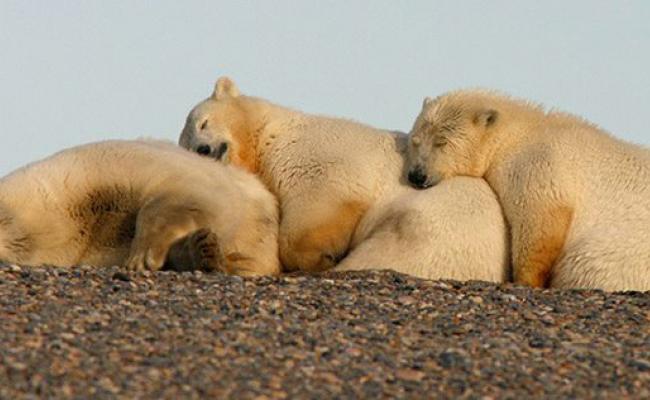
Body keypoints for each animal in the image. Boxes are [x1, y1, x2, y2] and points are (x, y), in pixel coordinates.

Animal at [179, 77, 511, 283]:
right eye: (189, 146)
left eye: (203, 123)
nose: (204, 149)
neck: (269, 134)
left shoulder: (318, 149)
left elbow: (321, 197)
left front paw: (318, 257)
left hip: (429, 230)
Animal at [405, 89, 650, 291]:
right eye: (415, 141)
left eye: (441, 142)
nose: (417, 175)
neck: (517, 136)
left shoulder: (539, 164)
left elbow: (539, 220)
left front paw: (525, 280)